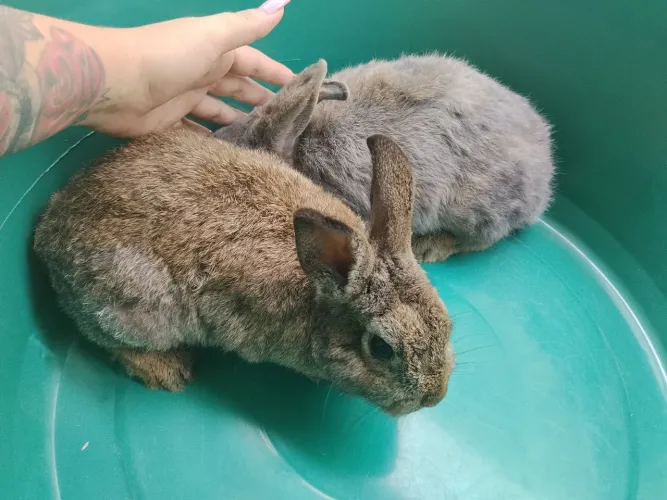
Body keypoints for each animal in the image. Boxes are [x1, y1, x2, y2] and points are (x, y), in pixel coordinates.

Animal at [33, 129, 455, 416]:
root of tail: (47, 232)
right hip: (134, 306)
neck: (317, 293)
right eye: (382, 349)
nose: (435, 396)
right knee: (103, 336)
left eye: (448, 324)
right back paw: (166, 370)